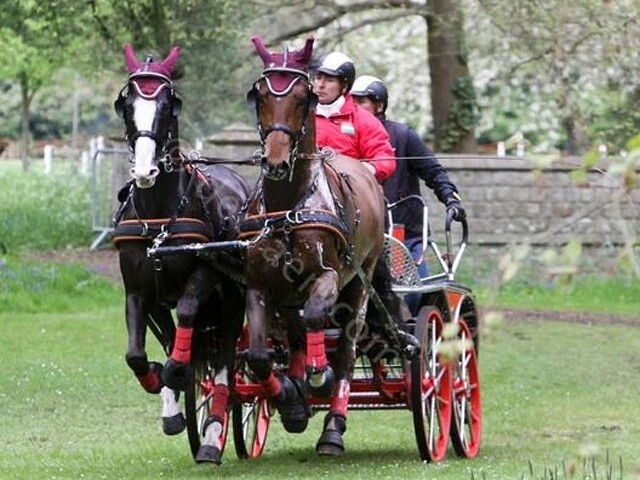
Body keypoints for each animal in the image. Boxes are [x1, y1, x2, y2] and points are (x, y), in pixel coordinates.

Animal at [111, 44, 249, 462]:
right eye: (127, 105)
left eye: (168, 106)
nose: (146, 171)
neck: (159, 215)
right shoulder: (140, 291)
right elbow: (138, 354)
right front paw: (162, 385)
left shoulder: (204, 277)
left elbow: (187, 312)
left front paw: (175, 371)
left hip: (233, 301)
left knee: (225, 365)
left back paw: (214, 433)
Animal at [240, 35, 388, 456]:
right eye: (260, 93)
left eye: (303, 96)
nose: (275, 161)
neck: (287, 207)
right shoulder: (259, 286)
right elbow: (259, 356)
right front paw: (291, 399)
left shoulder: (327, 277)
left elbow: (317, 318)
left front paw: (316, 377)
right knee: (293, 334)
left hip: (360, 282)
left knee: (346, 348)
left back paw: (333, 427)